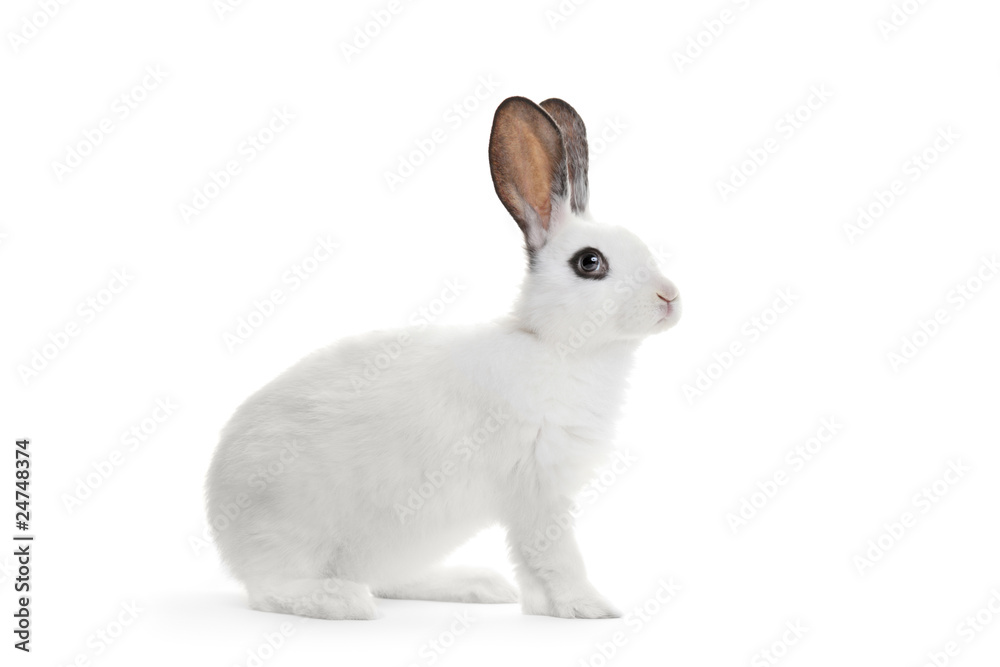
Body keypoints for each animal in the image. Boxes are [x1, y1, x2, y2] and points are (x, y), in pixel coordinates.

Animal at [205, 96, 682, 620]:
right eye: (589, 262)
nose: (669, 297)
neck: (554, 346)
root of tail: (222, 521)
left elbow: (534, 566)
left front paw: (544, 607)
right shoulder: (538, 491)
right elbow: (554, 556)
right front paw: (589, 608)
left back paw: (476, 585)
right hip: (297, 531)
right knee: (271, 590)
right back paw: (341, 600)